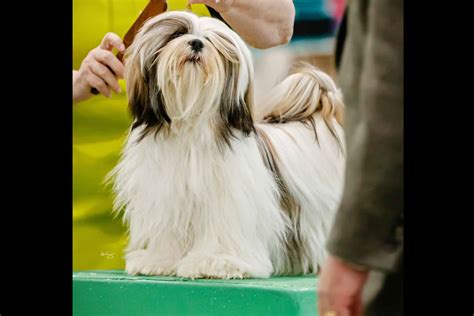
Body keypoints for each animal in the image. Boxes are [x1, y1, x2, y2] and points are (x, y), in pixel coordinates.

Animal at [109, 11, 346, 278]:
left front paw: (216, 261)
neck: (191, 125)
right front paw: (160, 260)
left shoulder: (228, 198)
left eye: (210, 42)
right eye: (177, 34)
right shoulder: (168, 193)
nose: (196, 43)